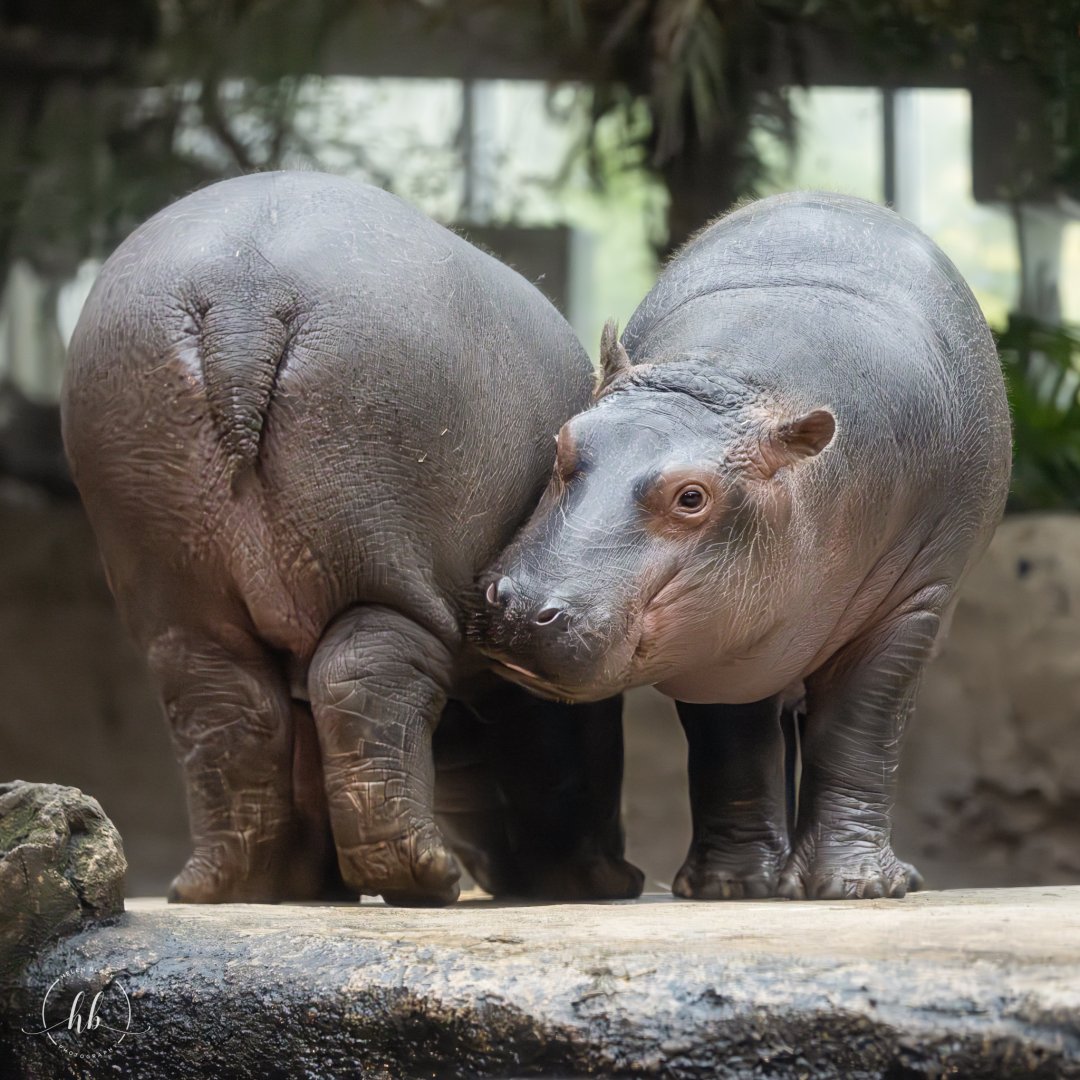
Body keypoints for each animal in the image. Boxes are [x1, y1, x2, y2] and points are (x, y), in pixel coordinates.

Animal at [61, 170, 643, 906]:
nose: (493, 872)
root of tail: (244, 300)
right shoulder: (544, 686)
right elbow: (571, 761)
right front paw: (599, 882)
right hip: (379, 563)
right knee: (363, 679)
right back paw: (423, 878)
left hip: (178, 582)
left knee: (229, 707)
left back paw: (232, 887)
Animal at [476, 192, 1012, 901]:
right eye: (563, 441)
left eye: (692, 497)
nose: (519, 607)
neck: (724, 382)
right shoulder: (719, 639)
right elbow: (732, 743)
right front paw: (727, 888)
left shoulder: (914, 602)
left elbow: (860, 730)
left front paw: (857, 888)